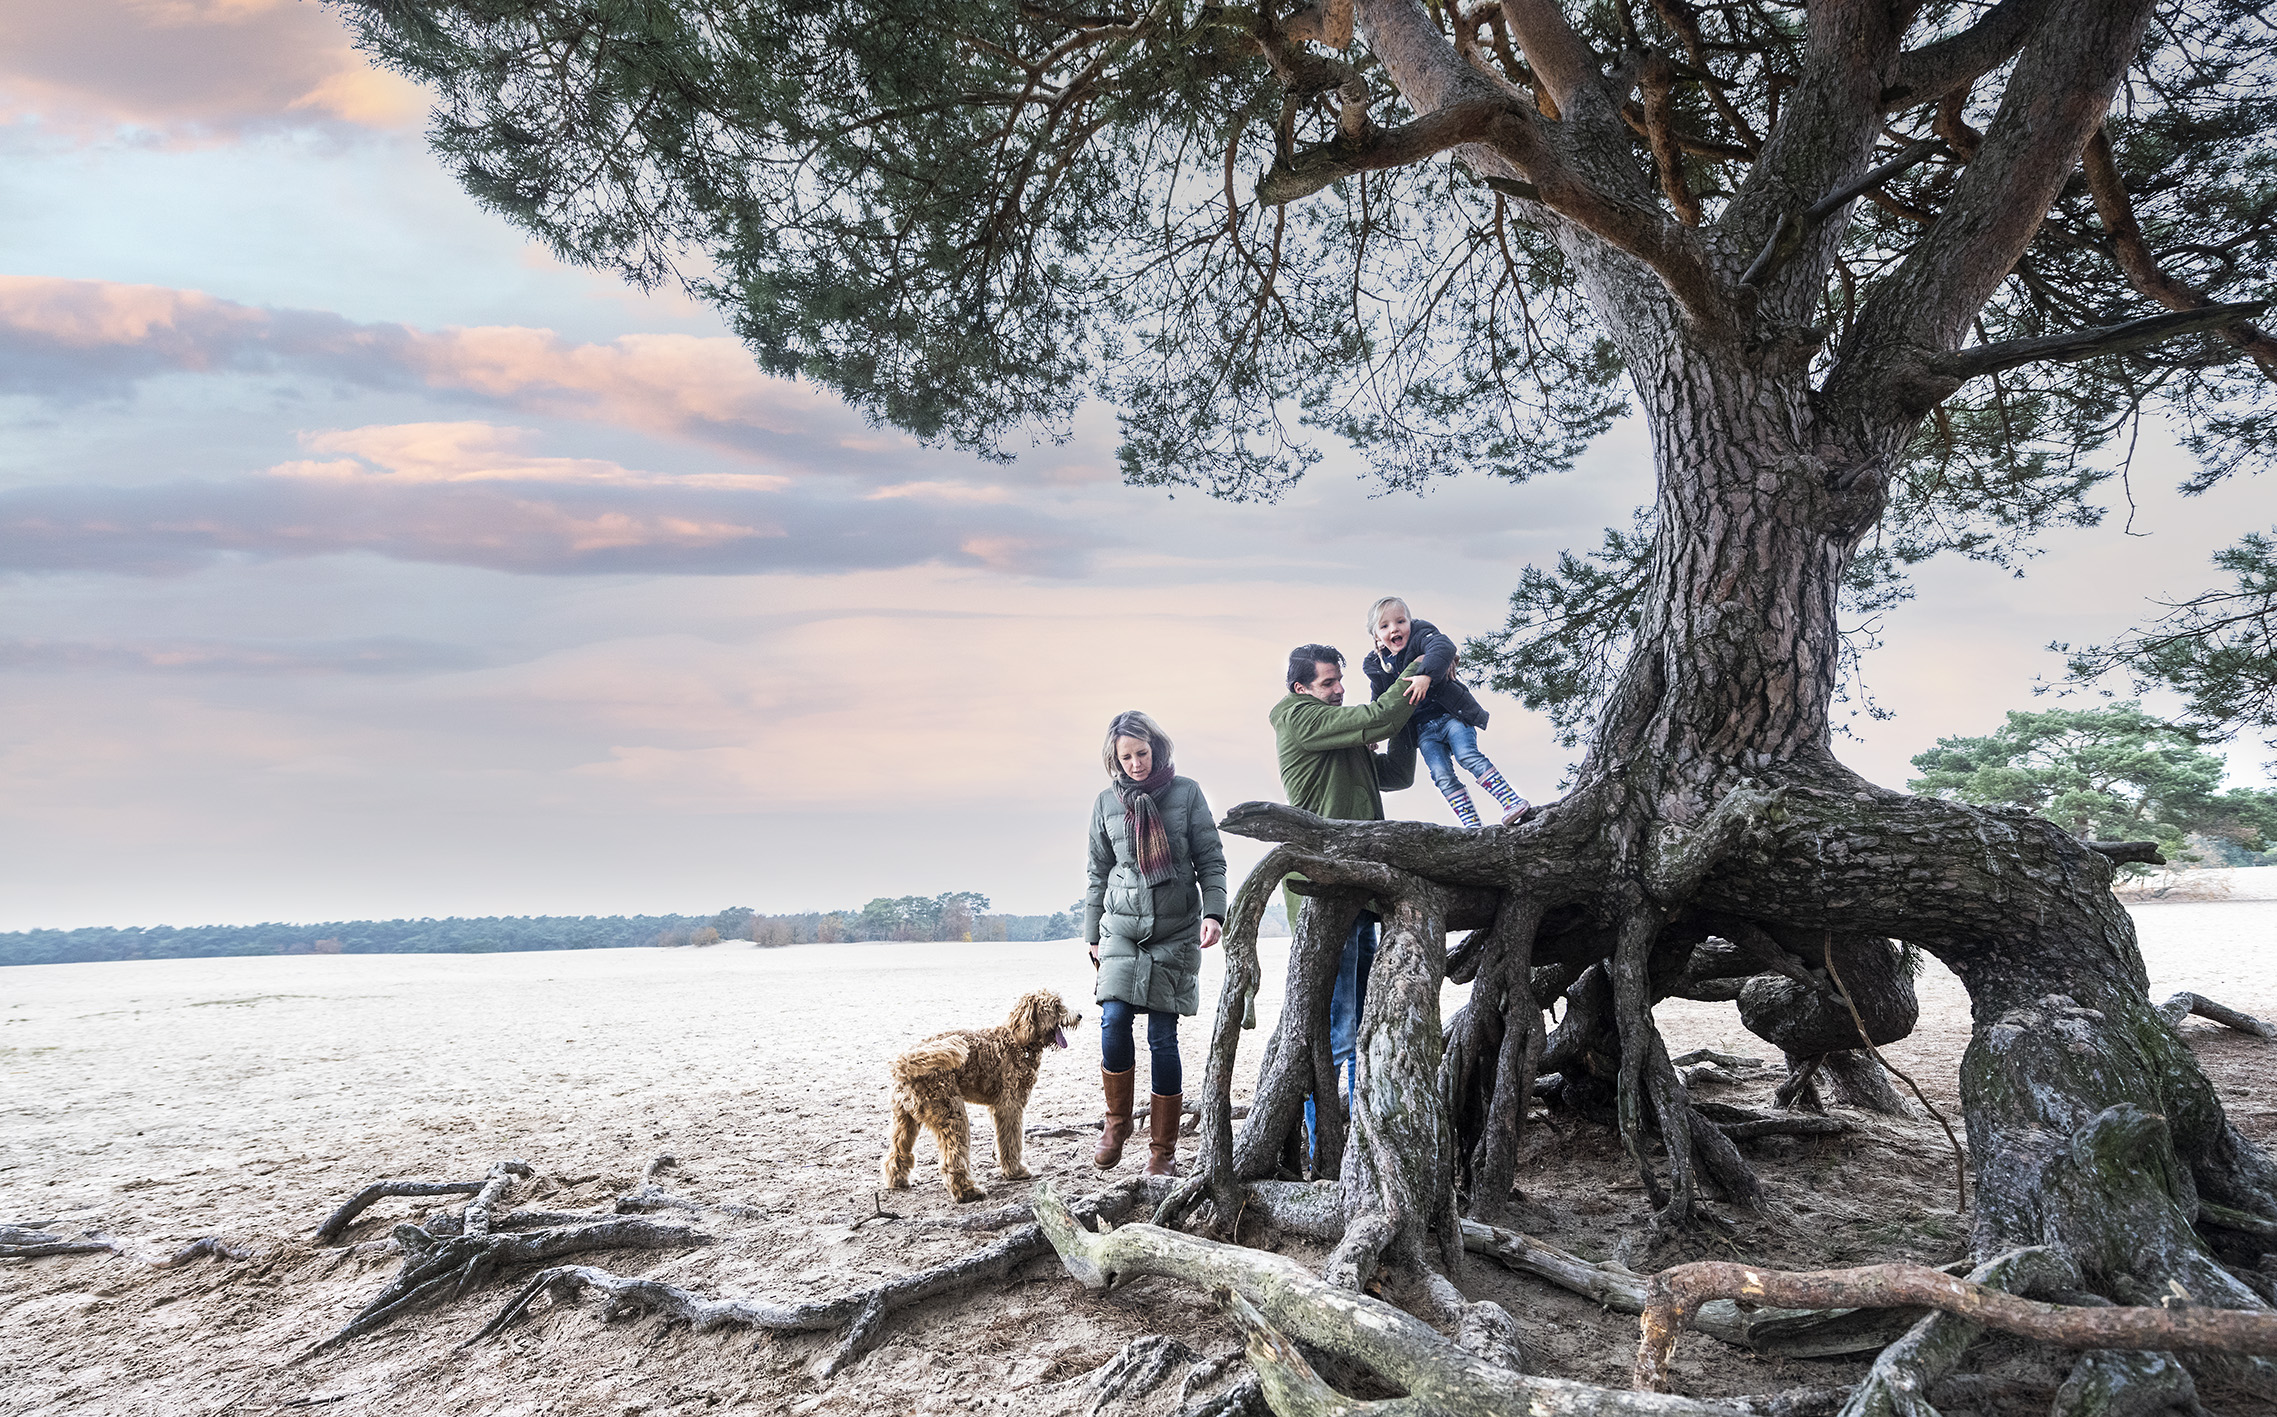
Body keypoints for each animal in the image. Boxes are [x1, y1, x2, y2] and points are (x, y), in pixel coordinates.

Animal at [878, 993, 1083, 1202]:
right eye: (1056, 1006)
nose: (1079, 1016)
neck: (1019, 1042)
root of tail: (903, 1062)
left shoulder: (999, 1108)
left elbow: (1002, 1140)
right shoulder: (1010, 1105)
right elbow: (1012, 1141)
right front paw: (1015, 1171)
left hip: (905, 1119)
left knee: (896, 1152)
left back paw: (898, 1181)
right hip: (953, 1115)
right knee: (952, 1159)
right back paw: (967, 1191)